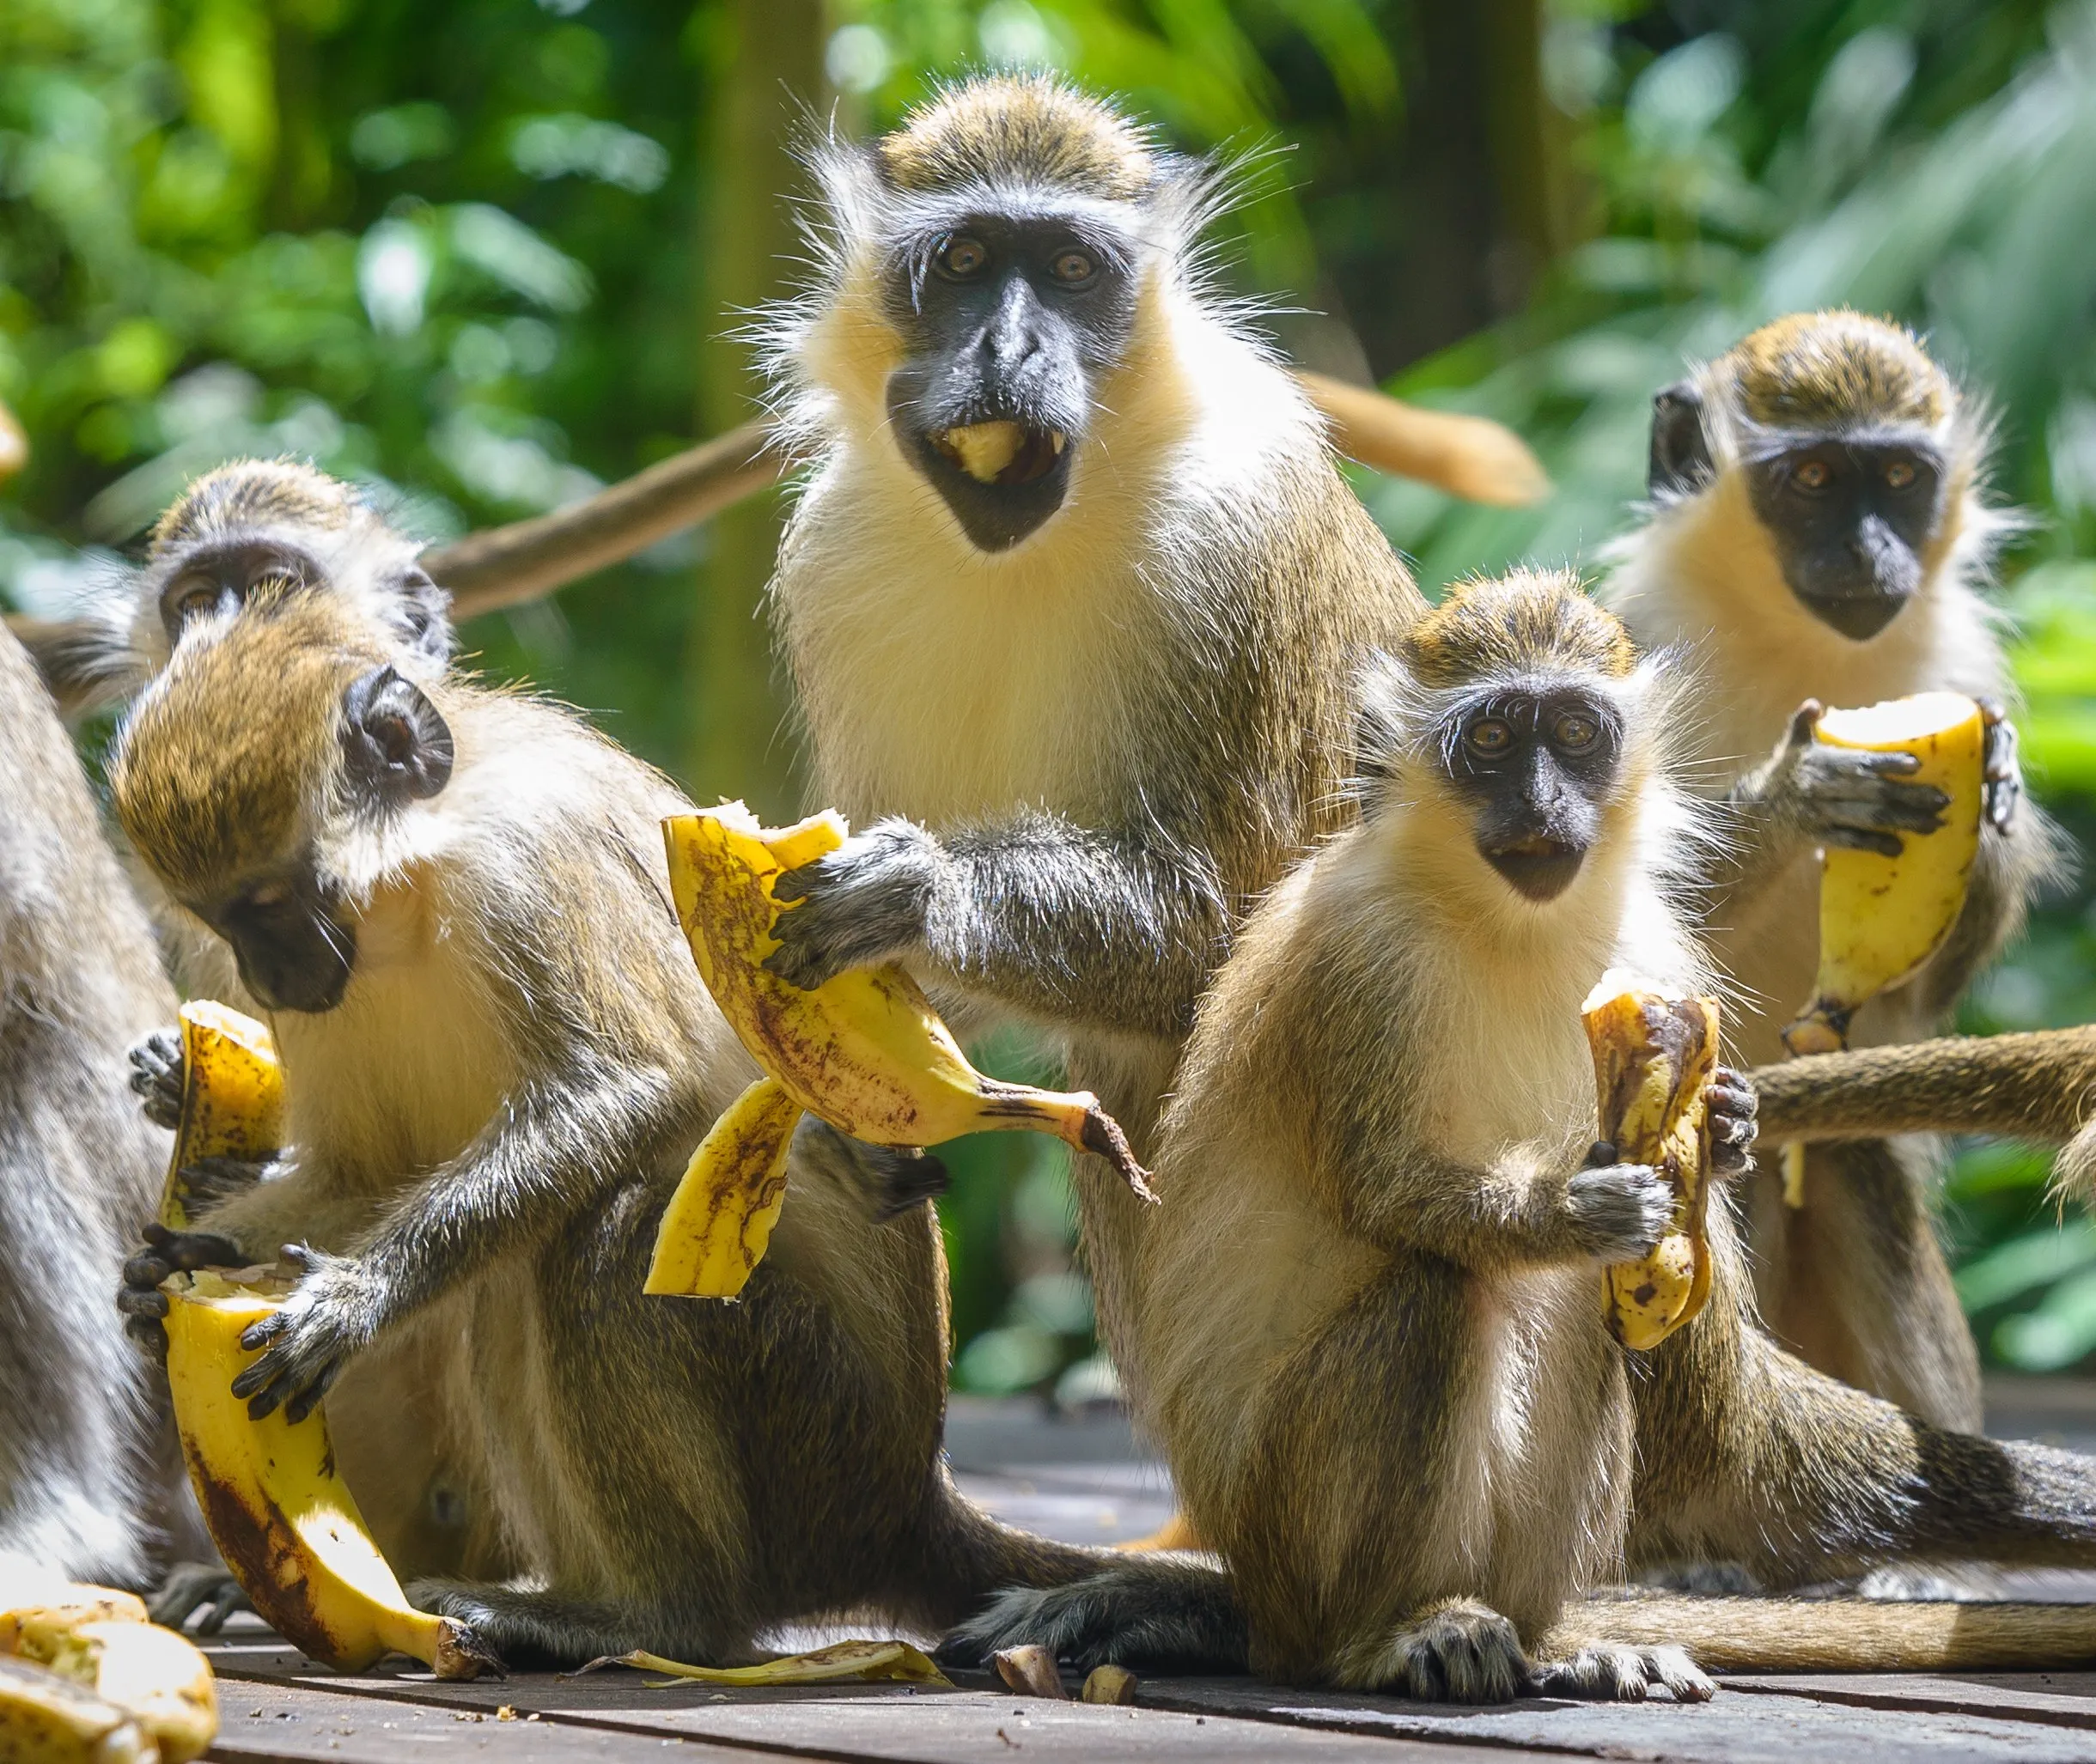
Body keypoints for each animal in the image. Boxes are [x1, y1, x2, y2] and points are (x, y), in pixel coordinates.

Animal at [104, 552, 1120, 1667]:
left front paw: (353, 1299)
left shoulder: (525, 863)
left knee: (608, 1233)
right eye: (223, 918)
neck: (415, 891)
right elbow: (365, 1174)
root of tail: (904, 1504)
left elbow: (625, 1093)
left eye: (273, 904)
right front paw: (182, 1269)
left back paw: (661, 1616)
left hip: (818, 1446)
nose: (268, 977)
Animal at [941, 572, 2096, 1697]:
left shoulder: (1655, 943)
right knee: (1440, 1291)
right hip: (1283, 1529)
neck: (1502, 919)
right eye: (1493, 739)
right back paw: (1388, 1631)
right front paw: (1577, 1207)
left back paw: (1548, 1636)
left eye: (1577, 733)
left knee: (1584, 1320)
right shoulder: (1358, 964)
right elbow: (1389, 1189)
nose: (1541, 803)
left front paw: (1725, 1125)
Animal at [1602, 310, 2068, 1432]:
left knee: (1856, 1162)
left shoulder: (1960, 658)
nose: (1868, 550)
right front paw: (1795, 794)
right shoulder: (1634, 642)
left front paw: (1994, 791)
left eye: (1899, 476)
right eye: (1812, 477)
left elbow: (1929, 993)